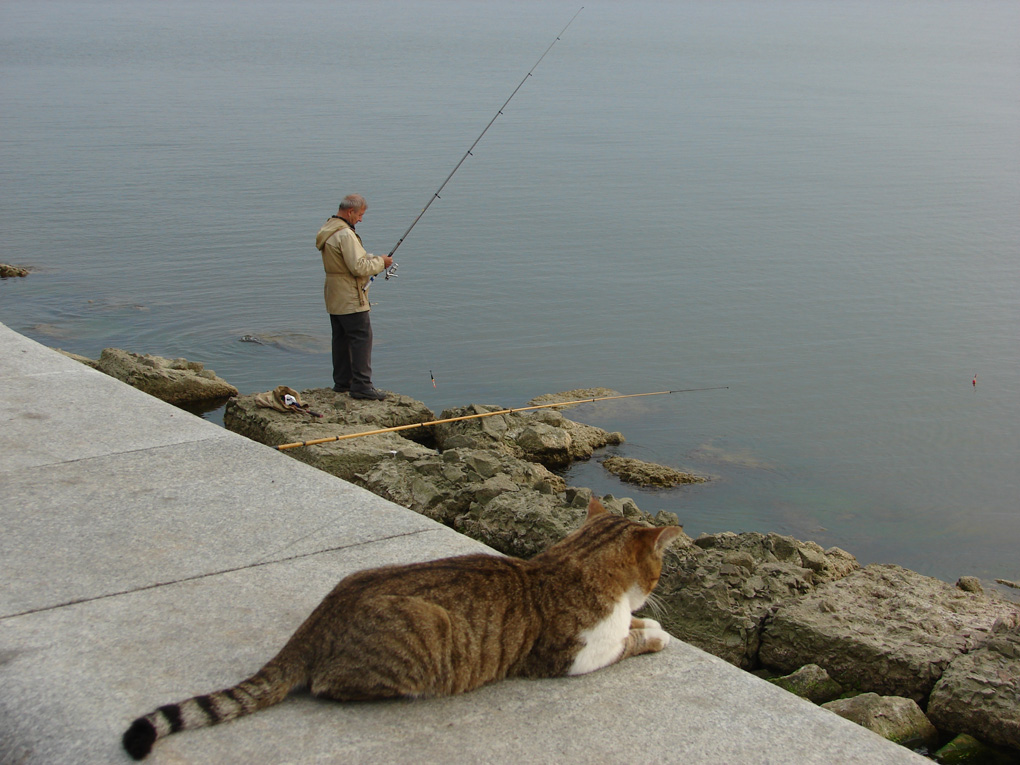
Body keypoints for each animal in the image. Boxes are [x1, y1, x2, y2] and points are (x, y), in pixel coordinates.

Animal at [123, 497, 681, 762]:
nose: (657, 592)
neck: (574, 560)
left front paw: (646, 619)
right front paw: (653, 632)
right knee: (331, 684)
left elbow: (630, 624)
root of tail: (319, 620)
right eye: (659, 570)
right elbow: (624, 640)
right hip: (425, 632)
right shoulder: (571, 655)